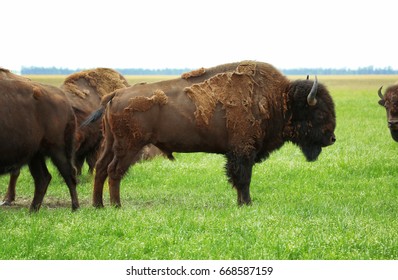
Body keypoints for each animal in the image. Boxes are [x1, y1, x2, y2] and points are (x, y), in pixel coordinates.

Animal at [0, 77, 78, 211]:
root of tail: (66, 102)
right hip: (35, 155)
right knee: (43, 178)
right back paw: (32, 210)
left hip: (57, 150)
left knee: (69, 174)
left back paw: (75, 208)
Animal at [84, 59, 336, 208]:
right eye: (320, 112)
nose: (332, 138)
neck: (277, 99)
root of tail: (115, 95)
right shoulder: (242, 152)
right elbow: (243, 178)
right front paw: (246, 203)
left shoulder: (238, 153)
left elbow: (238, 179)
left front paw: (241, 202)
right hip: (129, 146)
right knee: (114, 171)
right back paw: (116, 206)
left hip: (111, 144)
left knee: (101, 169)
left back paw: (99, 205)